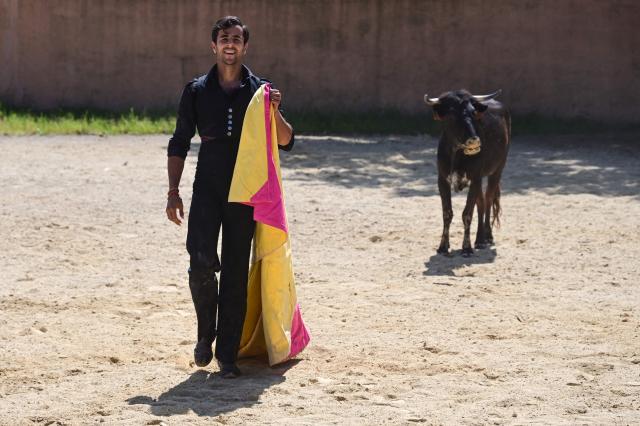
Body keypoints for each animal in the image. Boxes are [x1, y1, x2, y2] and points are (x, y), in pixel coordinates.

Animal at [424, 89, 511, 256]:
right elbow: (447, 213)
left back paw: (486, 237)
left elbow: (467, 213)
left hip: (497, 170)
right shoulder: (442, 180)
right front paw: (443, 246)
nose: (474, 141)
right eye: (451, 115)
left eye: (473, 113)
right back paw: (480, 239)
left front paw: (466, 248)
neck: (457, 154)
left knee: (488, 199)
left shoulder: (475, 178)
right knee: (481, 203)